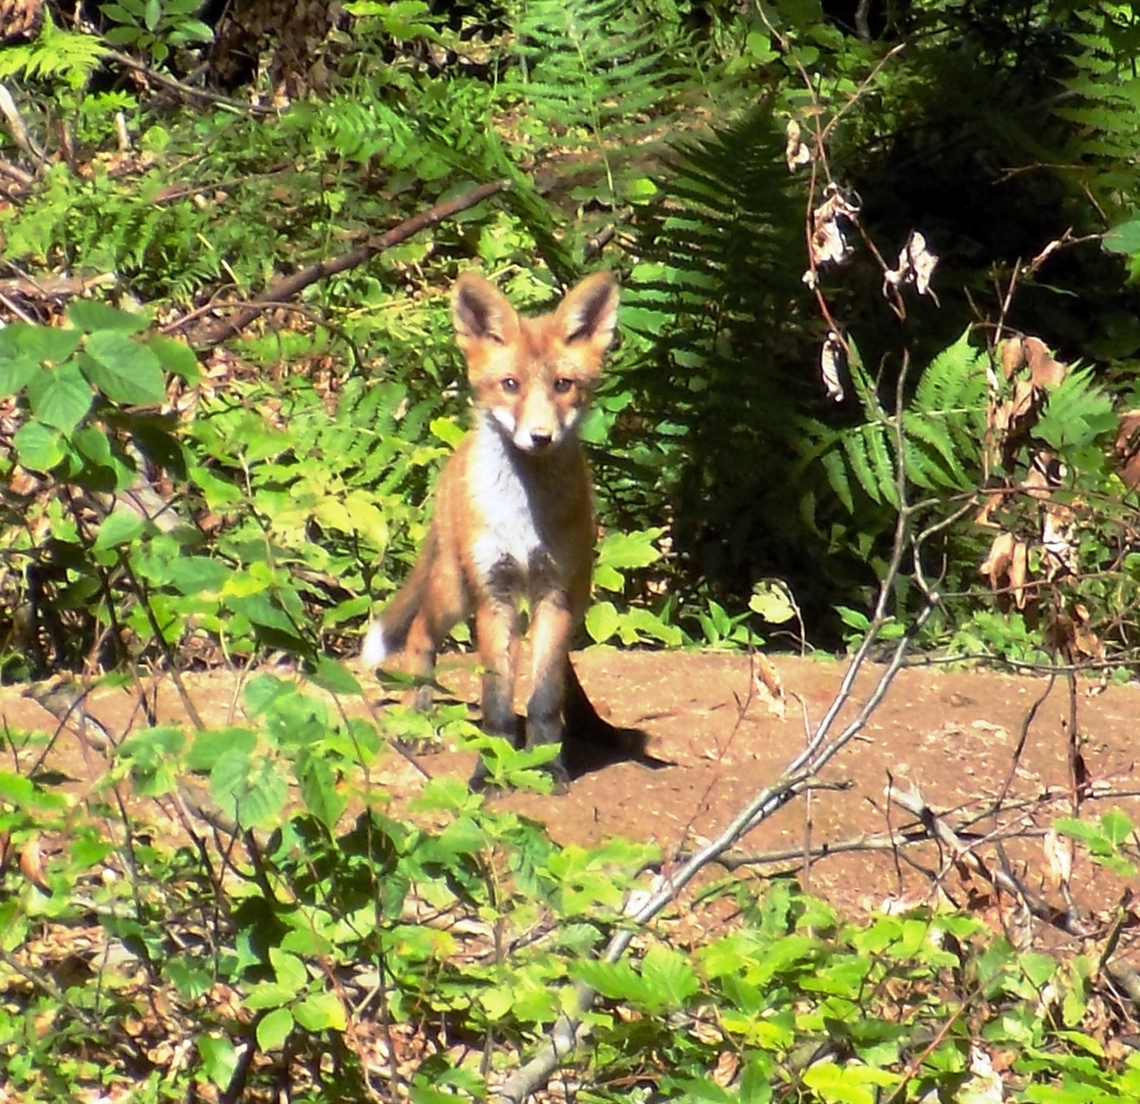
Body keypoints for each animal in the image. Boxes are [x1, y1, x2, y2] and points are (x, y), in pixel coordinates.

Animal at [362, 270, 622, 789]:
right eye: (510, 384)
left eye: (563, 384)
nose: (540, 437)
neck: (523, 518)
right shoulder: (493, 593)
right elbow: (497, 702)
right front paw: (490, 771)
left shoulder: (555, 592)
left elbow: (544, 696)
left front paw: (546, 766)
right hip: (454, 589)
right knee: (419, 633)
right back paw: (417, 717)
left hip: (565, 596)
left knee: (562, 670)